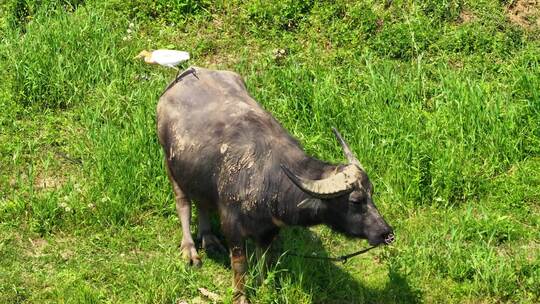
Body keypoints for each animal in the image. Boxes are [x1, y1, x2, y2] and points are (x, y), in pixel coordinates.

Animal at [156, 67, 392, 304]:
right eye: (355, 201)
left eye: (372, 193)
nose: (386, 233)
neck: (267, 176)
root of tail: (183, 76)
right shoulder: (232, 226)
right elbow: (240, 266)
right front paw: (241, 296)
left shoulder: (268, 231)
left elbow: (265, 262)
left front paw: (265, 288)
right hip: (170, 165)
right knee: (183, 203)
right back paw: (190, 251)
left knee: (202, 201)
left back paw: (209, 239)